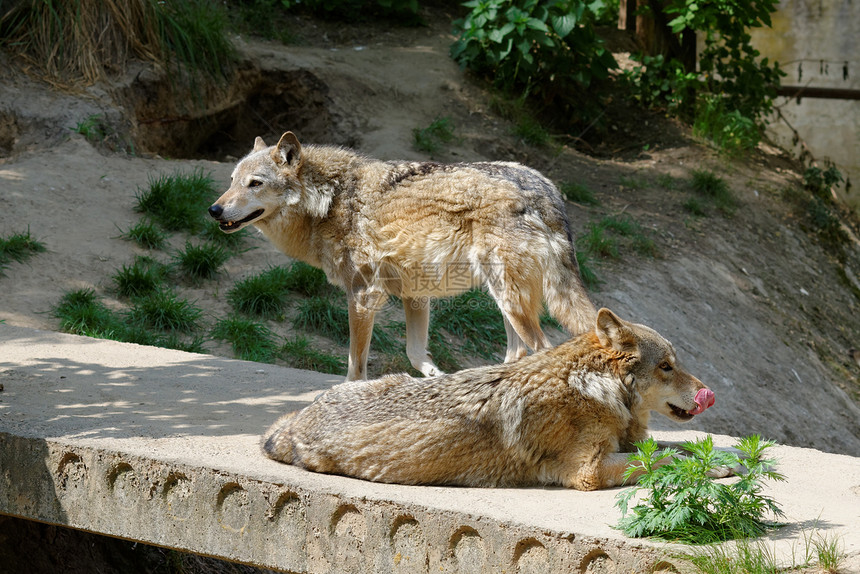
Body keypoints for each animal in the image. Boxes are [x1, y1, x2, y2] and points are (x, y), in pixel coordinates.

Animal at [208, 132, 596, 380]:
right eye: (231, 180)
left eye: (255, 183)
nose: (214, 210)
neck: (329, 200)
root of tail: (545, 189)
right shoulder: (416, 296)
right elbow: (414, 353)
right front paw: (437, 378)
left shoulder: (363, 296)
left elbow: (355, 367)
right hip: (506, 302)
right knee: (519, 353)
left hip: (509, 298)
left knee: (542, 349)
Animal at [262, 308, 720, 492]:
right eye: (667, 367)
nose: (708, 394)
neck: (594, 387)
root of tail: (293, 424)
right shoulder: (589, 471)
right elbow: (667, 460)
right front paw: (715, 467)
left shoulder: (629, 443)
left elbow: (673, 448)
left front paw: (719, 457)